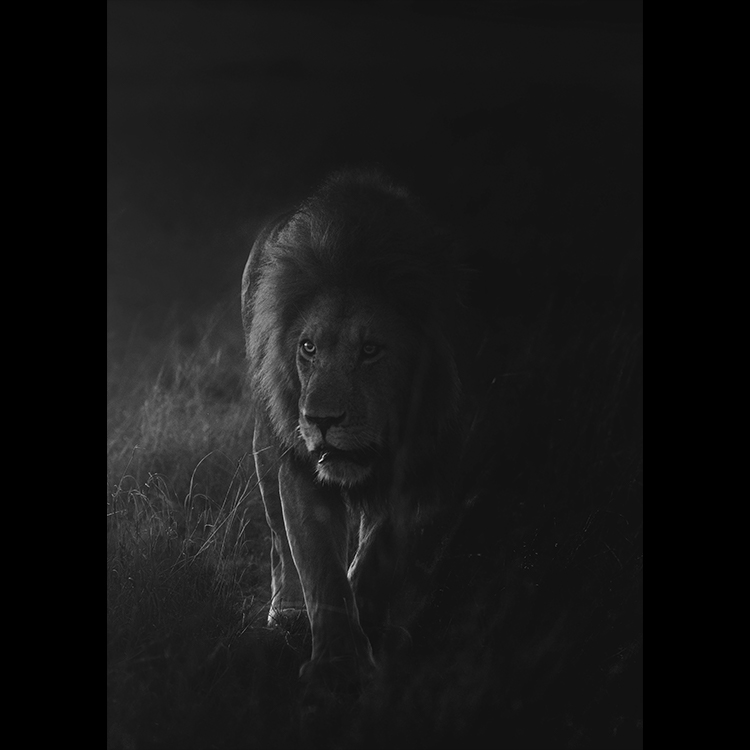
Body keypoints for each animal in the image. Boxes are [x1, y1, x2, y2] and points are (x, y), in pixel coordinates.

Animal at [241, 168, 463, 689]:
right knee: (279, 539)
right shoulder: (301, 465)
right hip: (267, 444)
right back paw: (288, 612)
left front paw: (372, 618)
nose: (320, 420)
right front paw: (338, 664)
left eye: (370, 350)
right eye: (308, 347)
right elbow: (318, 561)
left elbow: (385, 546)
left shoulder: (432, 461)